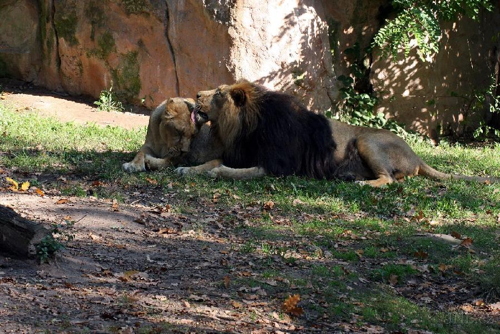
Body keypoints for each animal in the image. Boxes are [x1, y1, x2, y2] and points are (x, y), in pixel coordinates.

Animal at [177, 79, 496, 187]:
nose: (197, 94)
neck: (244, 127)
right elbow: (215, 161)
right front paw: (185, 169)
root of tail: (417, 156)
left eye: (218, 93)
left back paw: (362, 183)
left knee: (390, 180)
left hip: (366, 140)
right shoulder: (244, 154)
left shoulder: (279, 167)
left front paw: (215, 173)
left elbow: (232, 171)